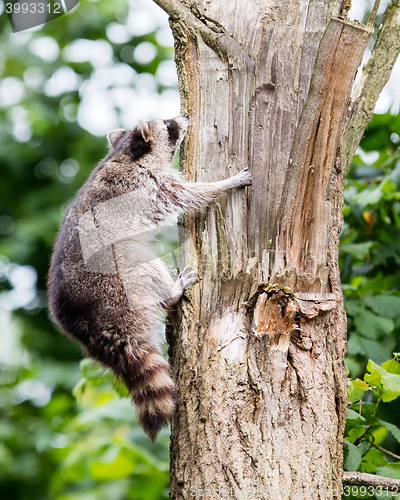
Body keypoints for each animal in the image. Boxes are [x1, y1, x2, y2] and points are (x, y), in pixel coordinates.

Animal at [48, 112, 252, 438]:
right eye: (169, 125)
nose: (184, 115)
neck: (124, 153)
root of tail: (85, 324)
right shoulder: (149, 186)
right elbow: (192, 195)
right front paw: (227, 183)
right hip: (117, 278)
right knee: (144, 263)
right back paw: (171, 293)